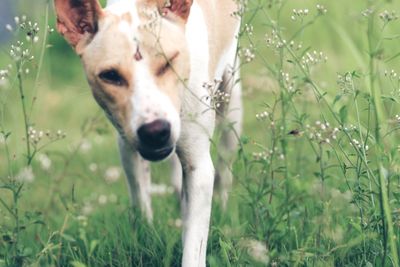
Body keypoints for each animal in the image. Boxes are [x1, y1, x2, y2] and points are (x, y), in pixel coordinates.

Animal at [52, 0, 241, 266]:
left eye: (168, 62)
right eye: (110, 75)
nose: (155, 131)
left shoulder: (199, 165)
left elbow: (194, 242)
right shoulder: (127, 144)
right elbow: (141, 200)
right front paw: (147, 239)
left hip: (231, 99)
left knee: (224, 167)